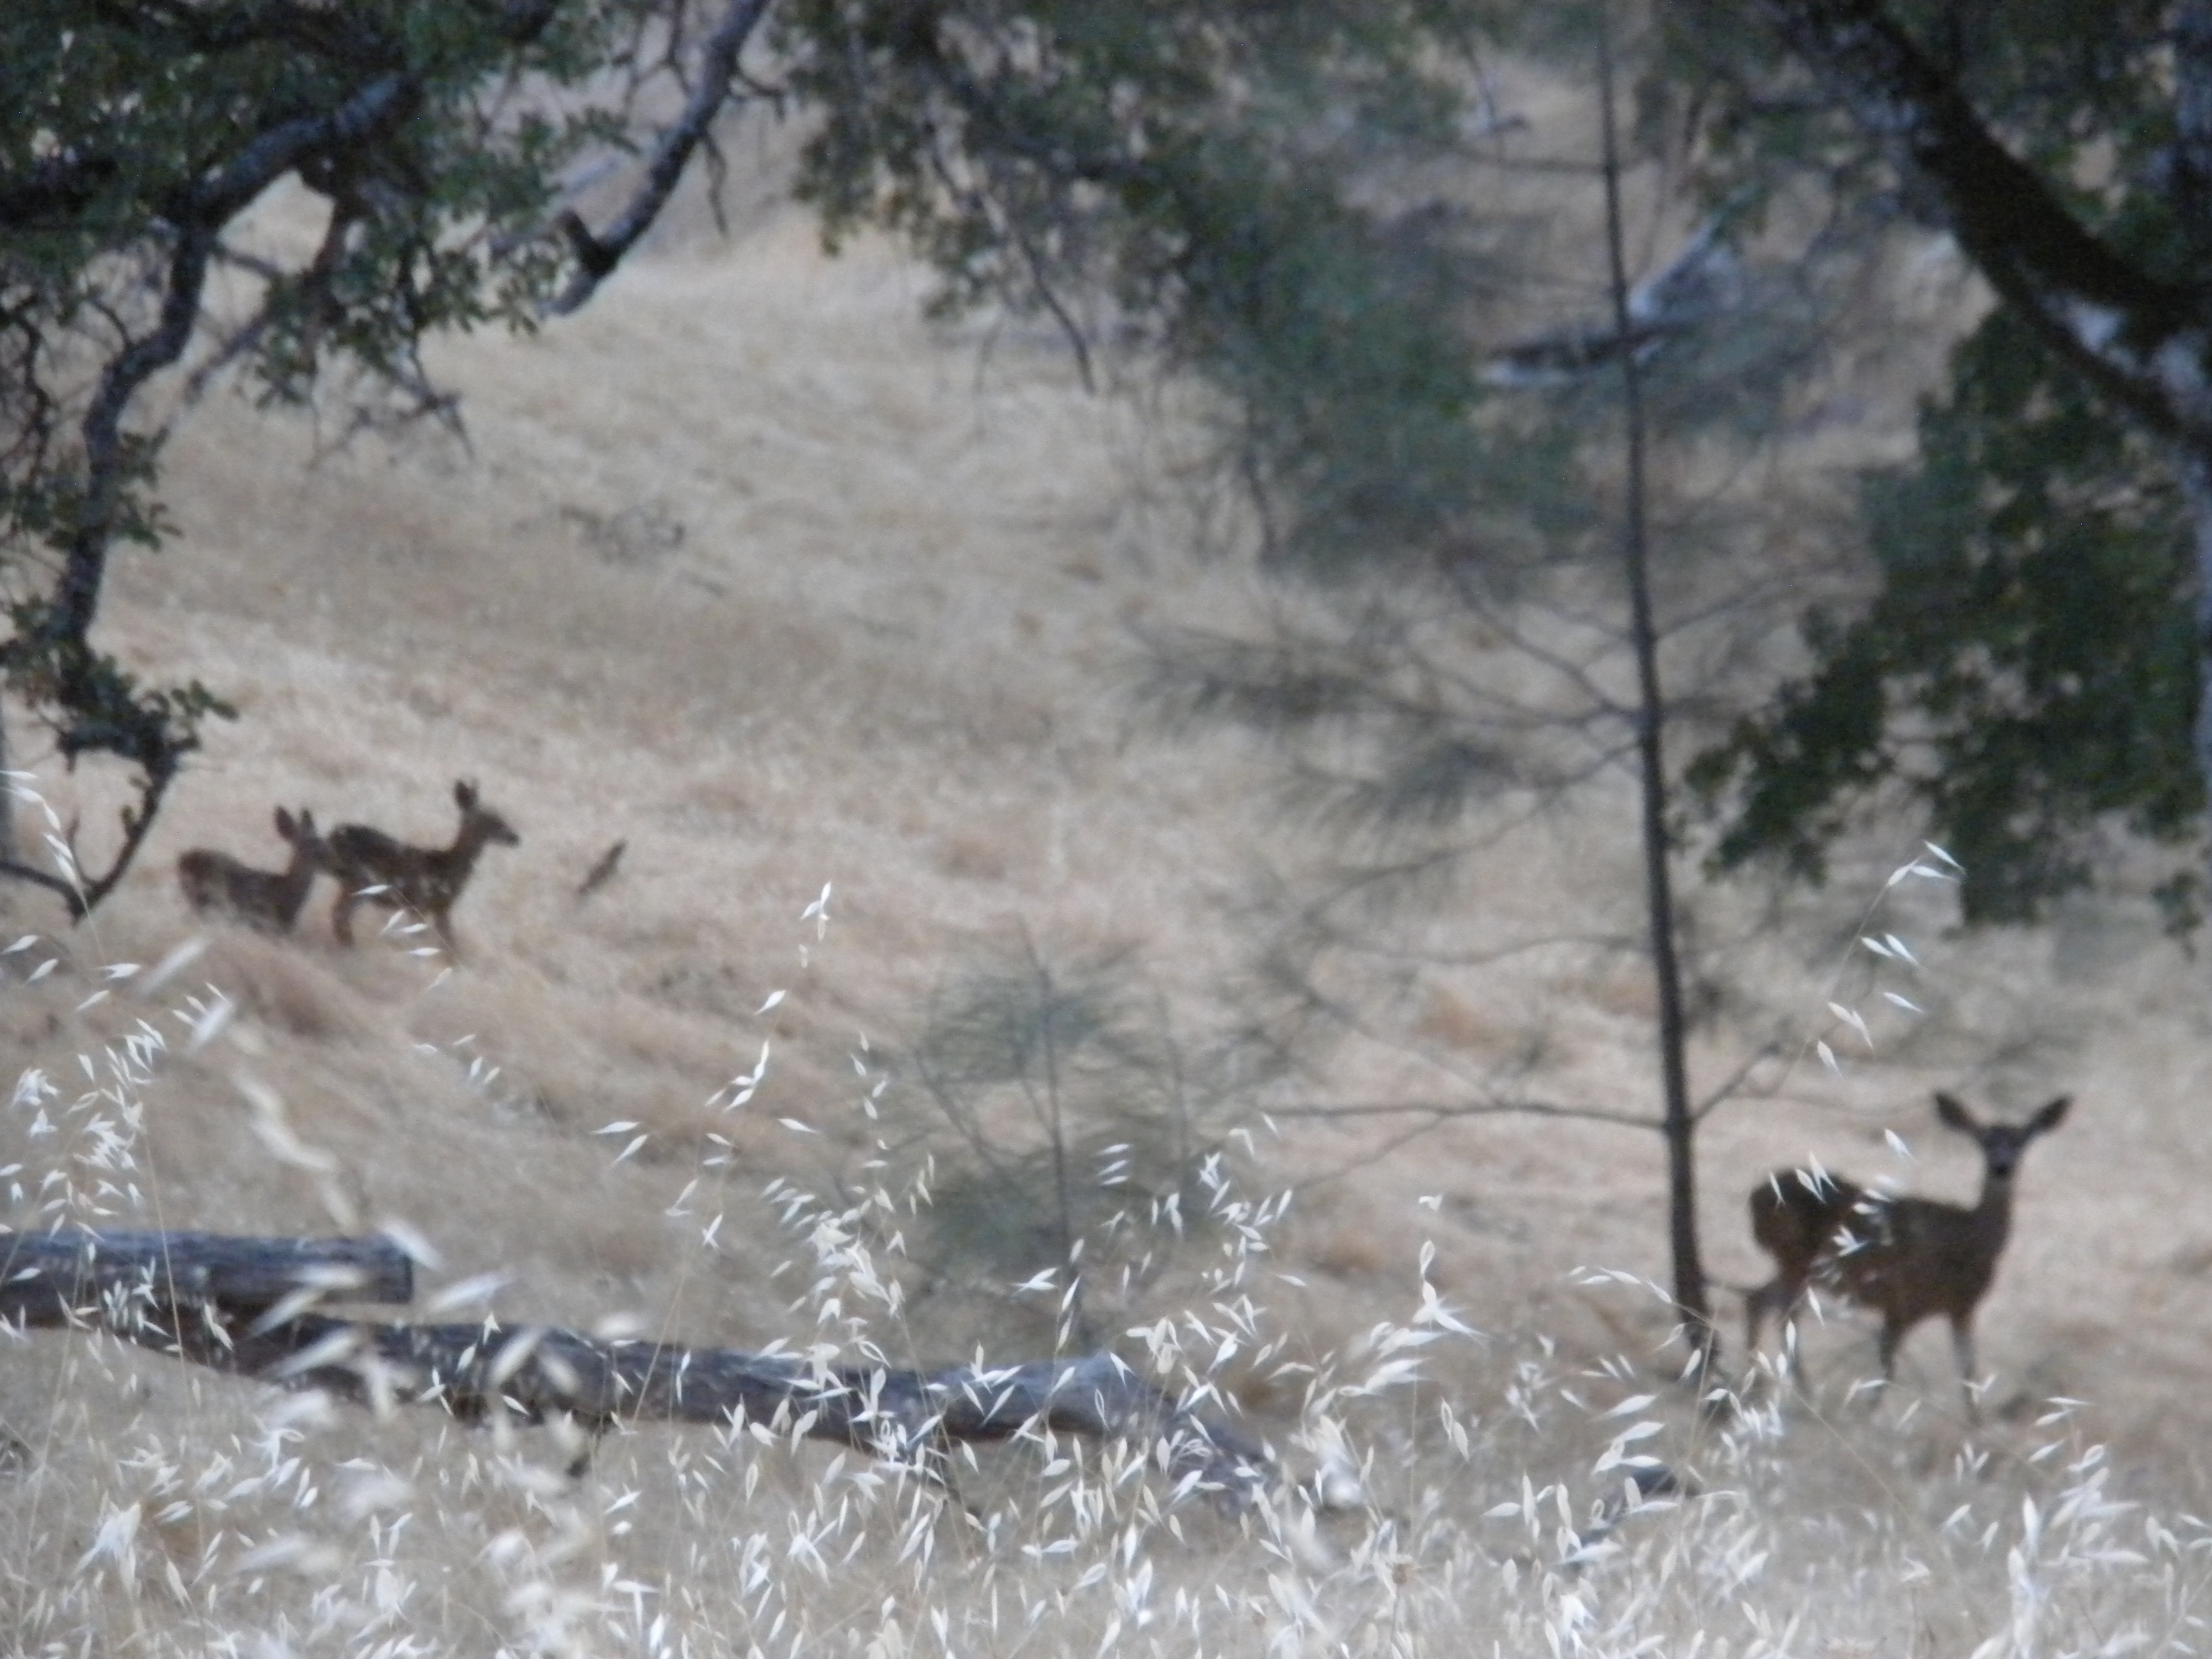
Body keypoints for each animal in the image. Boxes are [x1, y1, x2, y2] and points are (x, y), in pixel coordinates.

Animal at [323, 783, 518, 960]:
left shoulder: (436, 909)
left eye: (501, 818)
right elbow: (436, 942)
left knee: (339, 913)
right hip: (360, 881)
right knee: (340, 914)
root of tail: (334, 833)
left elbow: (446, 943)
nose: (515, 838)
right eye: (492, 821)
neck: (449, 866)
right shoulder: (424, 905)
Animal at [1743, 1093, 2070, 1433]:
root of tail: (1754, 1198)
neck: (1970, 1242)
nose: (2002, 1167)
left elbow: (1968, 1370)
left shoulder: (1962, 1309)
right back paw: (1795, 1396)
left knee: (1757, 1300)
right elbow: (1887, 1369)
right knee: (1783, 1314)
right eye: (1983, 1141)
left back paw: (1761, 1389)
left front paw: (1977, 1427)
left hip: (1799, 1267)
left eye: (2022, 1140)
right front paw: (1868, 1419)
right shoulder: (1902, 1302)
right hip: (1796, 1259)